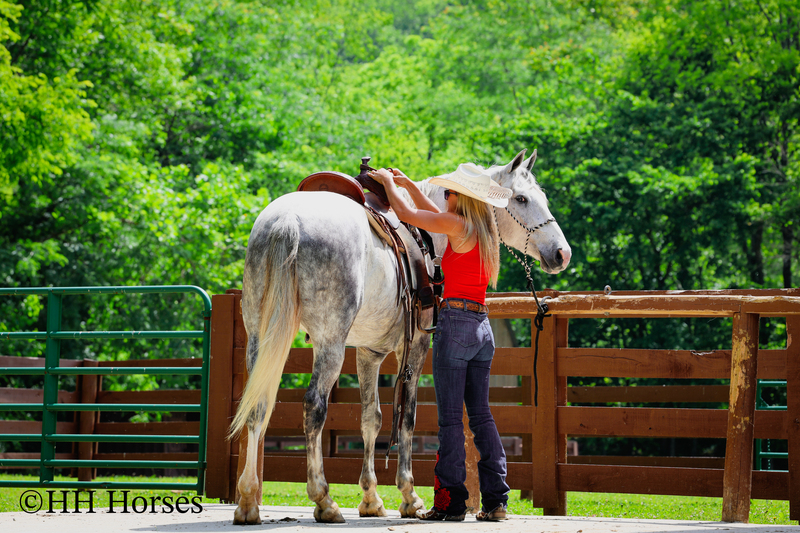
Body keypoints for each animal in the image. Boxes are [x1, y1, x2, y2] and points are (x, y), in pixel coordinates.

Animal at [230, 149, 572, 524]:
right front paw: (410, 496)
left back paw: (248, 501)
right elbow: (406, 417)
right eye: (521, 199)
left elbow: (371, 419)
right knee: (314, 407)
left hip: (259, 337)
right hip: (329, 343)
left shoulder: (368, 352)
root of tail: (288, 220)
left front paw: (371, 499)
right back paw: (324, 500)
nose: (562, 253)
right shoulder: (417, 346)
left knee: (257, 406)